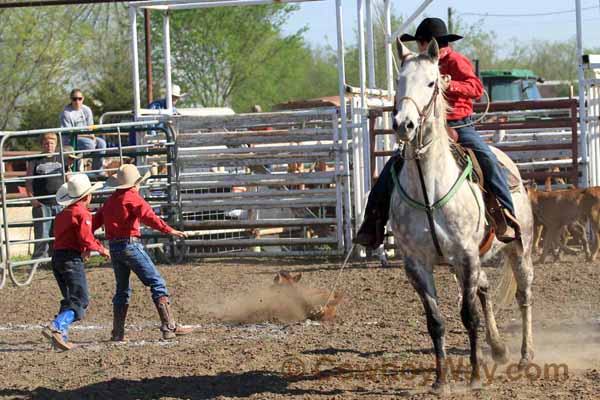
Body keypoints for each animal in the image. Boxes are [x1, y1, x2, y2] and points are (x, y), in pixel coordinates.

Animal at [390, 39, 536, 392]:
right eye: (399, 82)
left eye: (432, 82)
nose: (404, 125)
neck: (428, 189)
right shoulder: (417, 264)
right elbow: (436, 321)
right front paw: (441, 380)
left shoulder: (465, 255)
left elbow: (468, 316)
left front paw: (474, 378)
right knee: (483, 289)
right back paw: (497, 348)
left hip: (519, 247)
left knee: (524, 294)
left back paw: (525, 356)